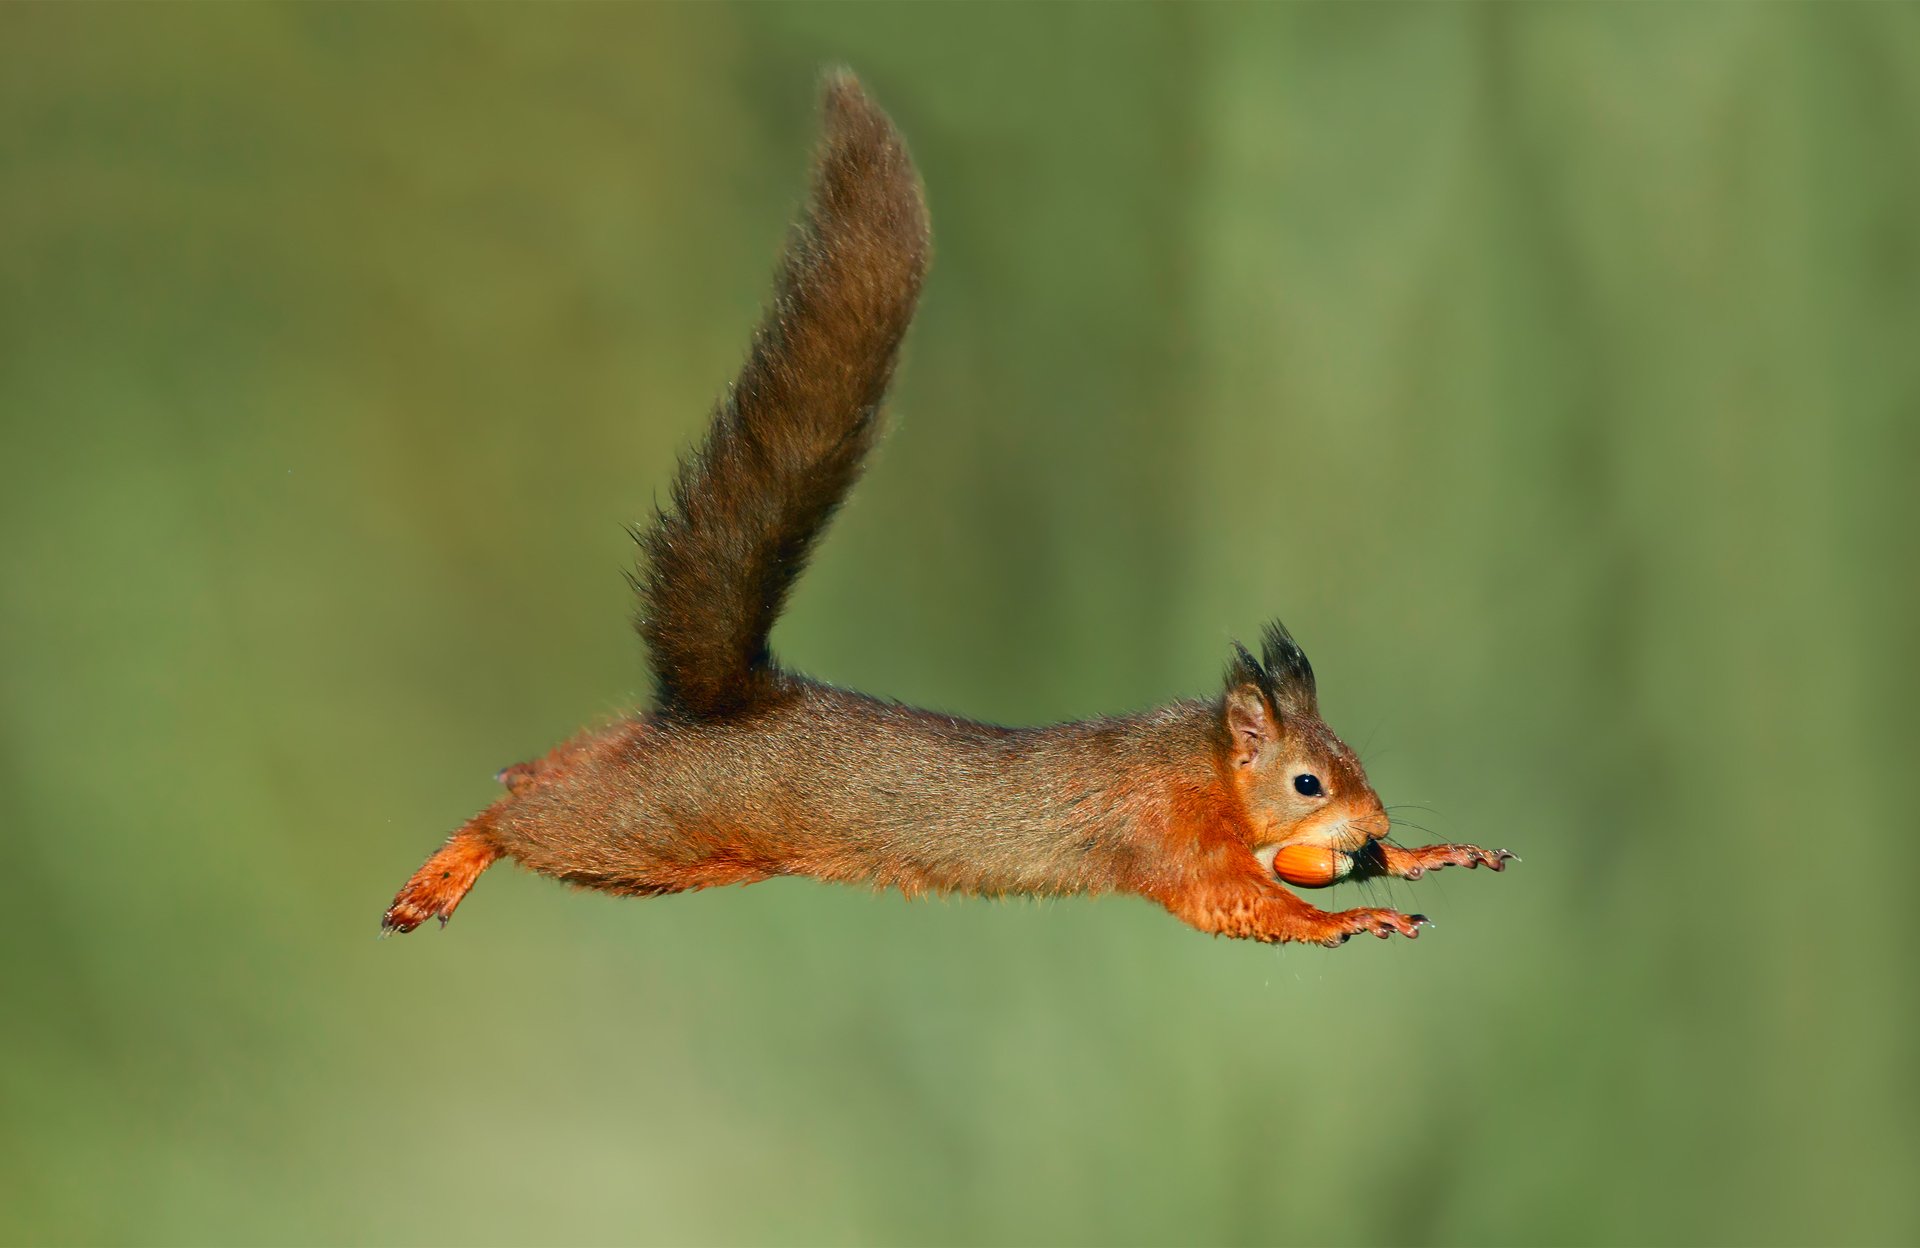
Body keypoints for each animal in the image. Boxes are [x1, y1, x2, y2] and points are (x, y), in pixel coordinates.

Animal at [381, 71, 1514, 949]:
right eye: (1310, 784)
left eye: (1353, 764)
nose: (1371, 823)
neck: (1197, 766)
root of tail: (730, 702)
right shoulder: (1165, 841)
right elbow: (1244, 906)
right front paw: (1355, 912)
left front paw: (1421, 855)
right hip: (661, 828)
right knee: (527, 823)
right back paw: (450, 864)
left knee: (581, 758)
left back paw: (529, 765)